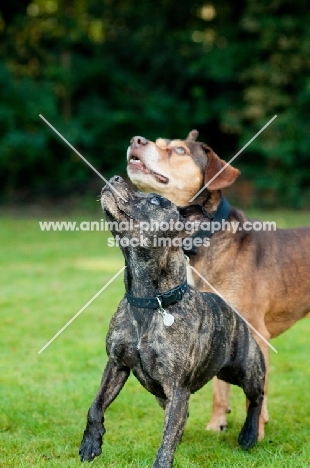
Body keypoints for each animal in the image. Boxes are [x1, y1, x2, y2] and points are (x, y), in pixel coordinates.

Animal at [78, 176, 266, 468]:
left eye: (156, 200)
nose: (116, 178)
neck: (148, 300)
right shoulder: (116, 364)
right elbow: (96, 405)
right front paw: (90, 443)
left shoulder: (177, 388)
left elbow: (167, 441)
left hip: (246, 369)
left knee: (257, 396)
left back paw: (248, 435)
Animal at [126, 129, 310, 438]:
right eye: (158, 142)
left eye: (179, 151)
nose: (135, 140)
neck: (205, 237)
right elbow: (218, 386)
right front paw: (217, 423)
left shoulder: (255, 332)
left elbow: (255, 391)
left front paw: (256, 432)